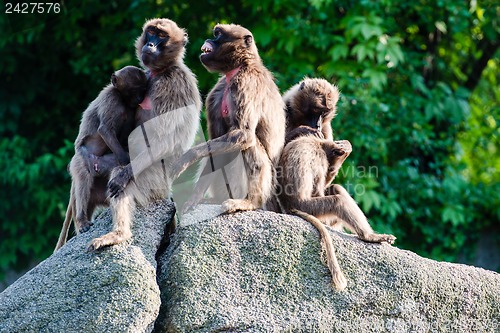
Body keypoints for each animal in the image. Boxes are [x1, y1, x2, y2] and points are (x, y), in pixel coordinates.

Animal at [55, 65, 149, 252]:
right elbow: (105, 129)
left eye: (142, 90)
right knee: (83, 177)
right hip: (80, 159)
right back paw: (81, 220)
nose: (139, 99)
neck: (122, 98)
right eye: (134, 91)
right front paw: (127, 165)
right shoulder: (112, 99)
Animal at [86, 18, 201, 250]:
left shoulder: (175, 83)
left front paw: (123, 175)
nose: (151, 45)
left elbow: (165, 138)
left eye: (162, 36)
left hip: (156, 178)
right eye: (151, 32)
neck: (161, 72)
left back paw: (119, 234)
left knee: (122, 182)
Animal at [172, 23, 288, 213]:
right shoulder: (218, 93)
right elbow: (217, 145)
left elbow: (245, 135)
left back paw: (249, 202)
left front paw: (187, 157)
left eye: (218, 34)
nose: (209, 39)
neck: (241, 66)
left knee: (249, 144)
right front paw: (195, 198)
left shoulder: (246, 85)